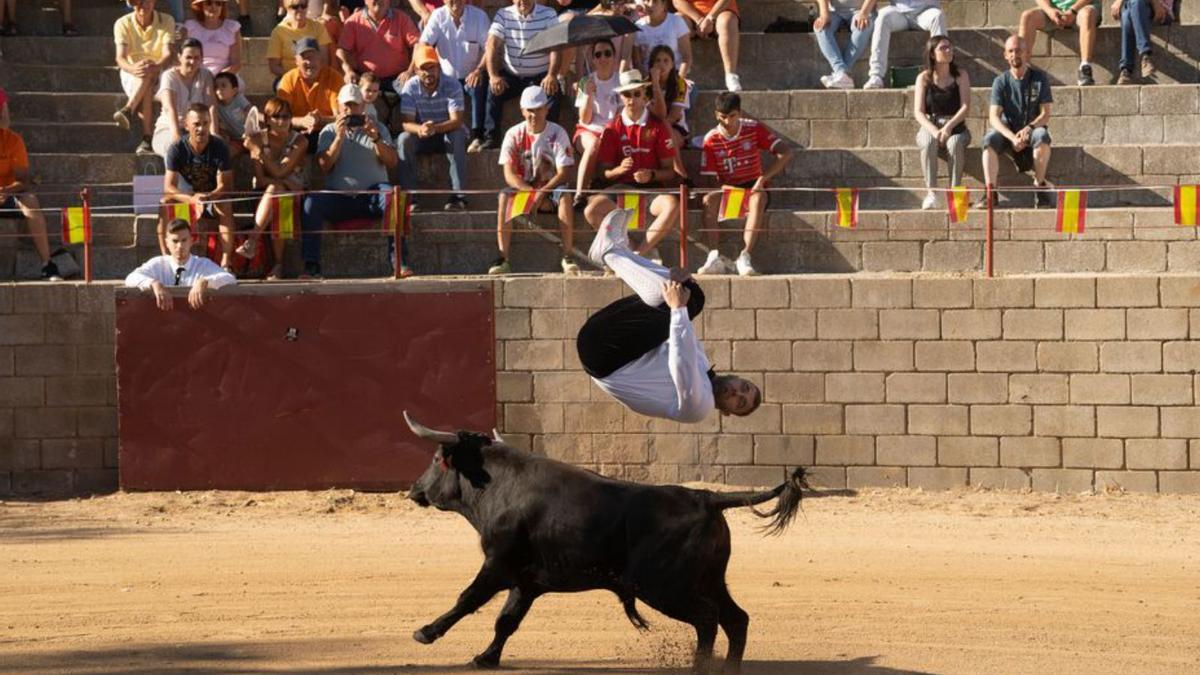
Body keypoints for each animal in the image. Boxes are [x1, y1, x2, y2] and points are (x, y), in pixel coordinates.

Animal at [400, 410, 806, 667]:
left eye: (436, 459)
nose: (414, 490)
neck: (499, 487)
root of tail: (706, 497)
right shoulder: (526, 581)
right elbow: (507, 620)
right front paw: (486, 658)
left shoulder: (498, 564)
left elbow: (468, 598)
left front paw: (425, 632)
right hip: (710, 580)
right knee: (736, 619)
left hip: (663, 587)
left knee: (707, 619)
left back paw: (700, 667)